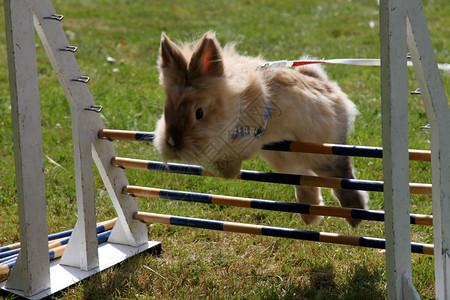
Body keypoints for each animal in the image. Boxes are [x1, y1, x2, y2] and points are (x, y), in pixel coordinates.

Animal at [155, 31, 370, 227]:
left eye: (199, 113)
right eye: (167, 108)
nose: (173, 143)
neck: (233, 104)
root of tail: (328, 88)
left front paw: (226, 172)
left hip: (322, 152)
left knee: (341, 176)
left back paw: (355, 217)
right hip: (286, 158)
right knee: (305, 178)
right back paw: (311, 218)